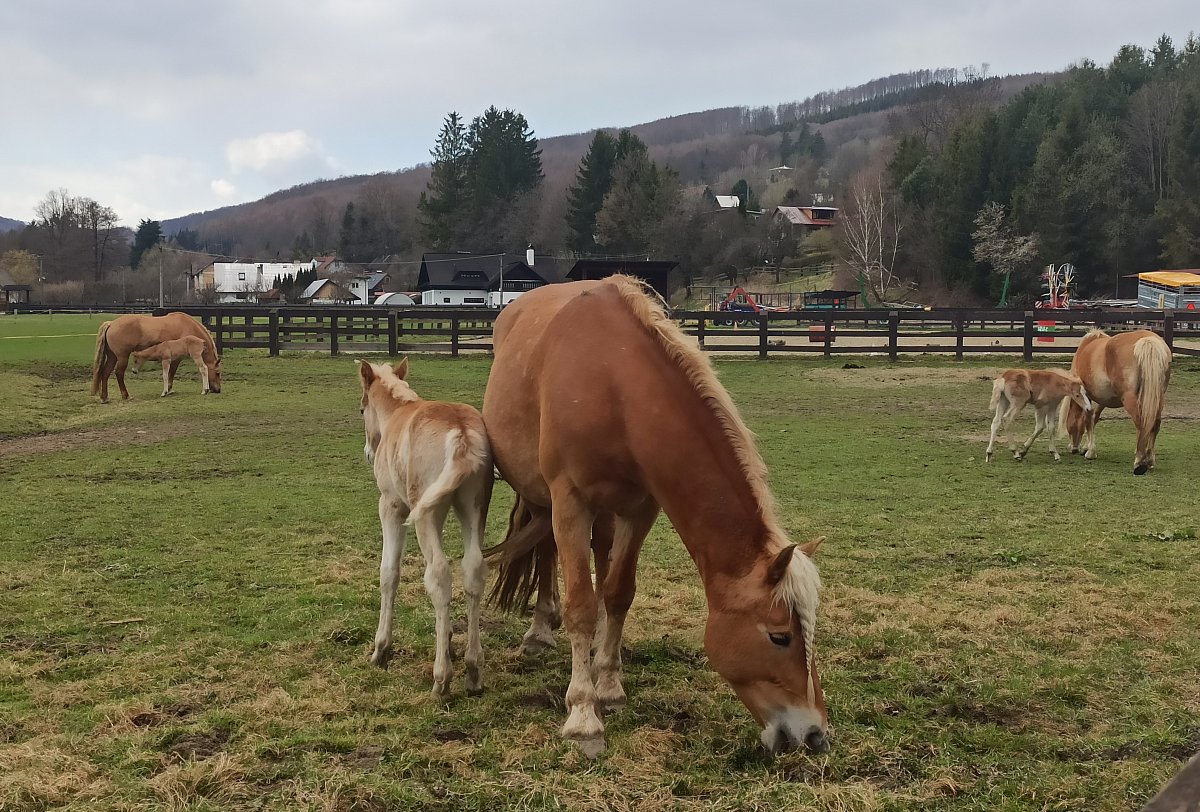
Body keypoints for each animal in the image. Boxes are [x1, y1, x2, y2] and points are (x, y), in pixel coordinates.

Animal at [91, 309, 220, 403]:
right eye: (218, 373)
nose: (218, 390)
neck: (187, 325)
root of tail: (111, 324)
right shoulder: (175, 359)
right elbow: (171, 373)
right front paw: (169, 389)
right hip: (122, 357)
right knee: (119, 373)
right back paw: (125, 395)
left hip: (112, 357)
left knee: (105, 373)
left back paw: (104, 398)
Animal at [355, 359, 492, 695]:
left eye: (362, 409)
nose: (368, 453)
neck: (397, 412)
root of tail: (461, 431)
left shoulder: (392, 506)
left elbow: (389, 573)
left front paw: (381, 650)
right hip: (472, 508)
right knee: (473, 570)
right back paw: (473, 670)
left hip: (424, 516)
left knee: (439, 575)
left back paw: (441, 679)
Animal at [482, 275, 830, 758]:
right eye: (779, 636)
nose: (815, 735)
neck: (613, 382)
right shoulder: (569, 501)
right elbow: (580, 604)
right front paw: (583, 714)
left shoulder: (641, 508)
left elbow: (618, 593)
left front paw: (609, 685)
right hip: (541, 496)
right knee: (549, 552)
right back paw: (539, 631)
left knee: (600, 557)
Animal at [1065, 326, 1166, 472]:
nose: (1072, 448)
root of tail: (1147, 340)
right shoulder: (1103, 399)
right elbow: (1094, 418)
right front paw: (1087, 447)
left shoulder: (1087, 396)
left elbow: (1088, 419)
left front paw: (1090, 452)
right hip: (1158, 397)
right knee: (1154, 424)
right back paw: (1149, 459)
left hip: (1130, 399)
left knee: (1141, 423)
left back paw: (1139, 461)